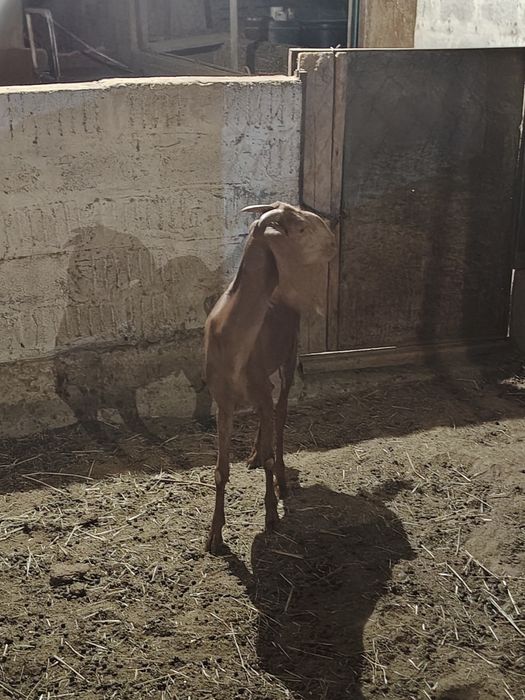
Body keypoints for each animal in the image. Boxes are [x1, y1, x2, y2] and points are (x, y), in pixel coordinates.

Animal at [204, 201, 336, 554]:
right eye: (301, 228)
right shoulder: (223, 401)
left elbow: (270, 442)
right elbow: (220, 471)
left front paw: (272, 515)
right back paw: (254, 454)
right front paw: (215, 536)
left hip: (289, 357)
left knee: (280, 413)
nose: (333, 241)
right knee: (269, 416)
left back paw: (280, 479)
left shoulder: (262, 384)